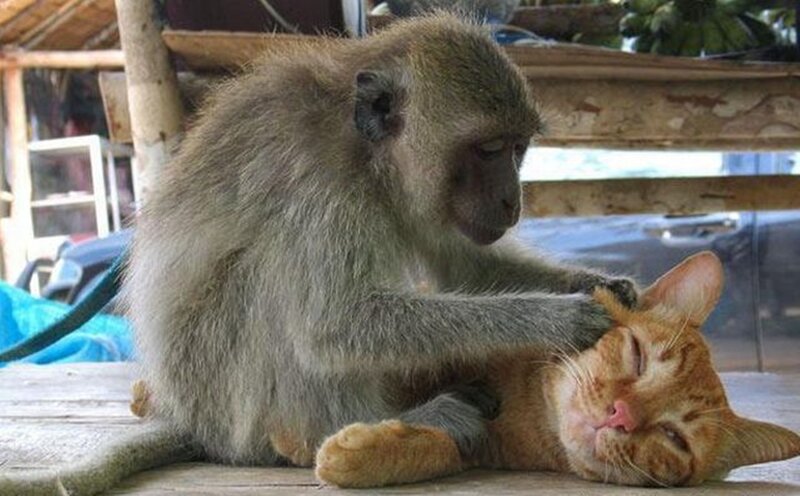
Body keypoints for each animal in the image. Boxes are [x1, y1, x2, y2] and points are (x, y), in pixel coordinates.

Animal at [0, 13, 636, 495]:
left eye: (518, 148)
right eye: (488, 150)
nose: (512, 199)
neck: (367, 156)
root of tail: (189, 416)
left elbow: (468, 266)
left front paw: (598, 283)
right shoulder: (318, 183)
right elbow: (334, 325)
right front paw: (552, 320)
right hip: (226, 402)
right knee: (271, 282)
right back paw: (368, 427)